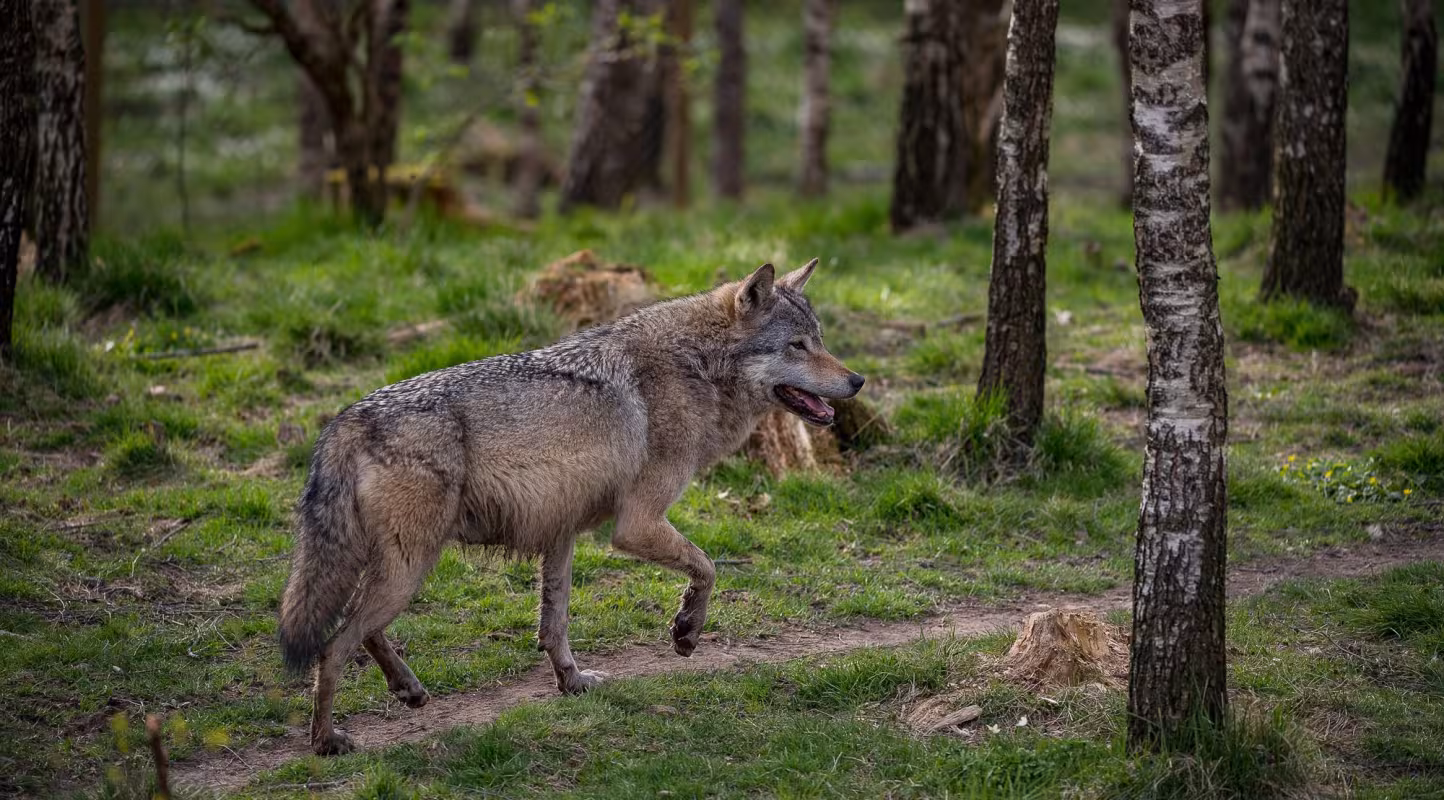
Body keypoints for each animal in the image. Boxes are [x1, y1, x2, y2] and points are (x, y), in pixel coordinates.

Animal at [278, 259, 863, 755]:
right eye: (797, 345)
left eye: (819, 341)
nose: (856, 380)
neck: (695, 366)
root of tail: (345, 419)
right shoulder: (635, 525)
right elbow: (709, 568)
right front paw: (686, 632)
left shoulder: (562, 533)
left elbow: (554, 626)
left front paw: (573, 682)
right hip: (410, 569)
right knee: (334, 646)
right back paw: (326, 741)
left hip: (400, 569)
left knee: (361, 631)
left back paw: (408, 690)